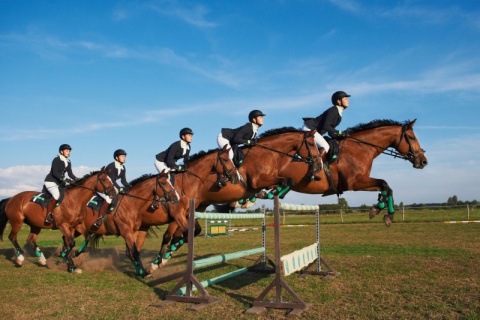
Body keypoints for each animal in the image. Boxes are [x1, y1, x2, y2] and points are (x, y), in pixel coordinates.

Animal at [141, 127, 324, 270]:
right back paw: (159, 260)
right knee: (173, 233)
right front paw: (258, 197)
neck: (267, 153)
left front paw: (259, 196)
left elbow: (288, 181)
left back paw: (165, 256)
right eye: (311, 144)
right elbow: (285, 181)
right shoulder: (257, 180)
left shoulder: (268, 179)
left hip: (197, 207)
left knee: (179, 232)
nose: (318, 166)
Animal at [268, 119, 430, 226]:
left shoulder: (362, 181)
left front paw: (379, 210)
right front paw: (385, 213)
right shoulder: (356, 183)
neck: (360, 148)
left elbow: (386, 187)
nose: (423, 161)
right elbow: (384, 184)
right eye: (412, 137)